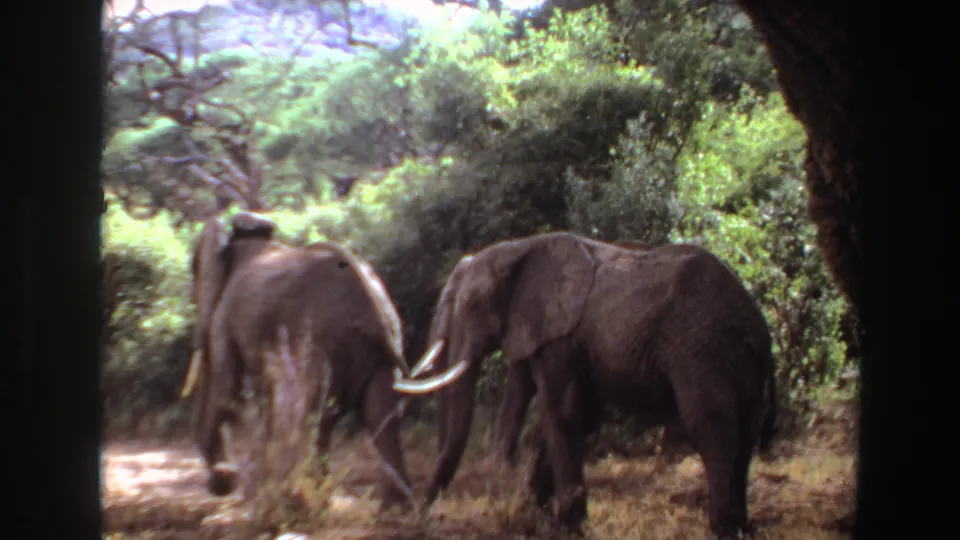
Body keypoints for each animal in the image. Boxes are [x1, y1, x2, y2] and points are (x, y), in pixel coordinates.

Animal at [180, 211, 433, 511]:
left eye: (193, 272)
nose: (222, 481)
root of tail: (376, 310)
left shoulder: (223, 317)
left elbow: (225, 390)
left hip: (323, 340)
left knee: (319, 415)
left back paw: (306, 500)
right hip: (379, 348)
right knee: (381, 415)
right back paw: (394, 509)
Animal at [392, 231, 778, 538]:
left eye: (470, 304)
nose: (421, 511)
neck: (519, 248)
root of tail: (758, 325)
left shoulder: (558, 335)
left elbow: (564, 413)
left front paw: (566, 527)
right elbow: (576, 417)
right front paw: (533, 518)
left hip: (703, 351)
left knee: (712, 428)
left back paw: (722, 530)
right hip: (736, 362)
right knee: (745, 434)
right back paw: (743, 529)